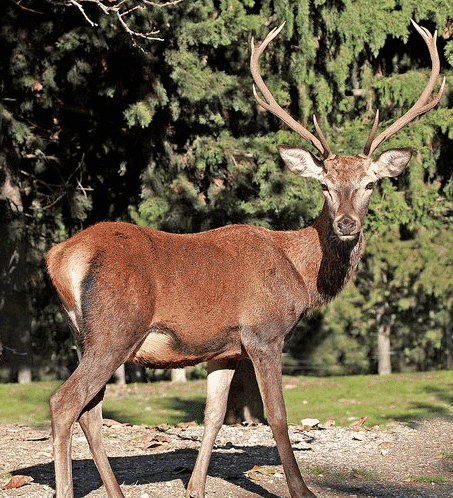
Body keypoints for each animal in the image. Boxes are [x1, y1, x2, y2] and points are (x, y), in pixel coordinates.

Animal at [47, 19, 444, 498]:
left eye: (370, 184)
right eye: (325, 186)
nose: (347, 223)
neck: (301, 274)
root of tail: (61, 256)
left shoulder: (223, 348)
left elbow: (215, 417)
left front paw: (195, 487)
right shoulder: (264, 333)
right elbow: (277, 416)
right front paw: (301, 489)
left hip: (84, 334)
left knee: (90, 410)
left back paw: (117, 491)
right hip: (115, 328)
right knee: (65, 402)